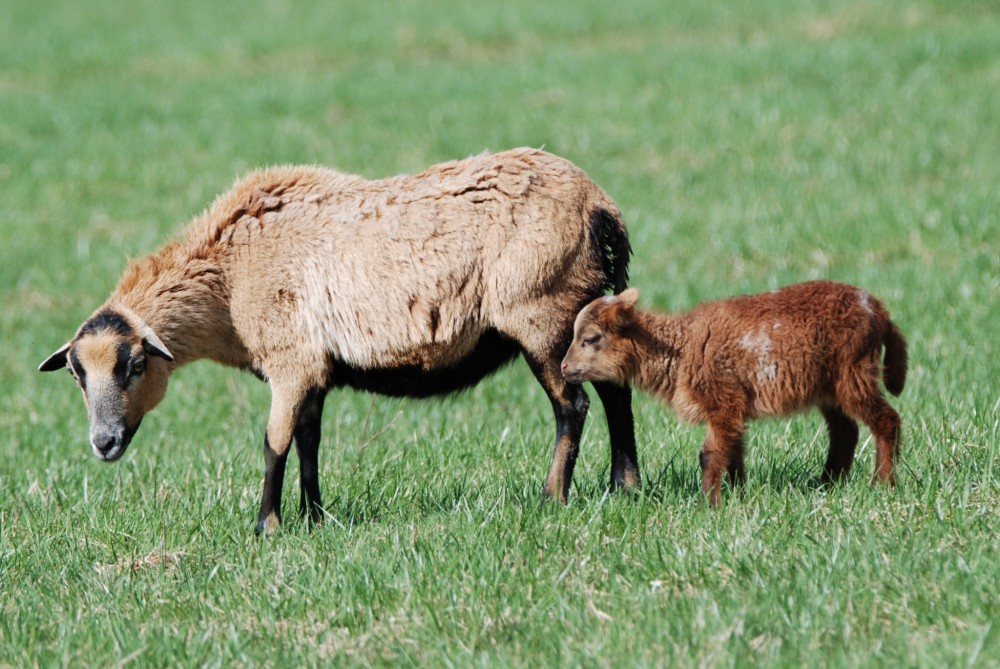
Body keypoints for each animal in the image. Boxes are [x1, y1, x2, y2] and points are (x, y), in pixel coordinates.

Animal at [39, 149, 636, 536]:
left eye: (134, 364)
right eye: (76, 373)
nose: (104, 443)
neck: (226, 280)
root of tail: (600, 208)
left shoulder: (292, 363)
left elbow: (273, 443)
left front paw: (266, 527)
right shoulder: (317, 371)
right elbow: (309, 442)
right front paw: (314, 517)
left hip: (542, 310)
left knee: (573, 406)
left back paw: (552, 498)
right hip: (579, 310)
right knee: (615, 392)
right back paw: (624, 486)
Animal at [564, 280, 908, 504]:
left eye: (591, 338)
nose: (564, 368)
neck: (681, 347)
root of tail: (876, 308)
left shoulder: (723, 401)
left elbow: (711, 454)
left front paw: (708, 503)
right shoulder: (733, 409)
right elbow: (734, 451)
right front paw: (737, 494)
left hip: (853, 374)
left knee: (886, 421)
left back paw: (883, 484)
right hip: (829, 388)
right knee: (845, 432)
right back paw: (827, 483)